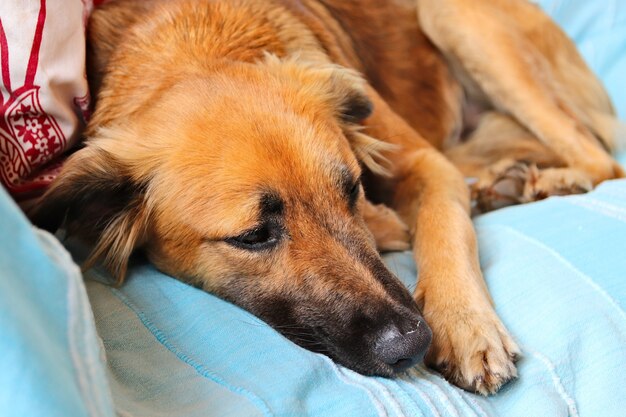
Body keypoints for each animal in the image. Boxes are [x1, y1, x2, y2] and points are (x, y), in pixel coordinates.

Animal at [31, 0, 620, 394]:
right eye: (253, 236)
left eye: (351, 188)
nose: (412, 345)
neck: (196, 45)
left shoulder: (426, 163)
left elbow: (446, 229)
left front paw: (465, 323)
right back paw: (509, 182)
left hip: (455, 19)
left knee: (601, 157)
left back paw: (550, 182)